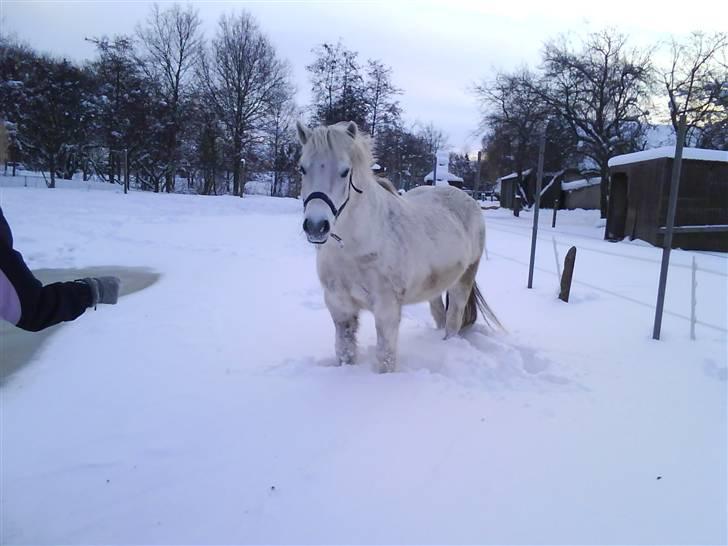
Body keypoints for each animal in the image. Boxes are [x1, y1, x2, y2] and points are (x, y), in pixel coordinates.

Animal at [298, 120, 500, 372]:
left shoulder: (387, 308)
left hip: (463, 279)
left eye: (345, 171)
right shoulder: (340, 307)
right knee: (439, 315)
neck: (355, 247)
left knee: (453, 319)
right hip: (435, 286)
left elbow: (385, 358)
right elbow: (344, 353)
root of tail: (467, 198)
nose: (316, 226)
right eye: (302, 169)